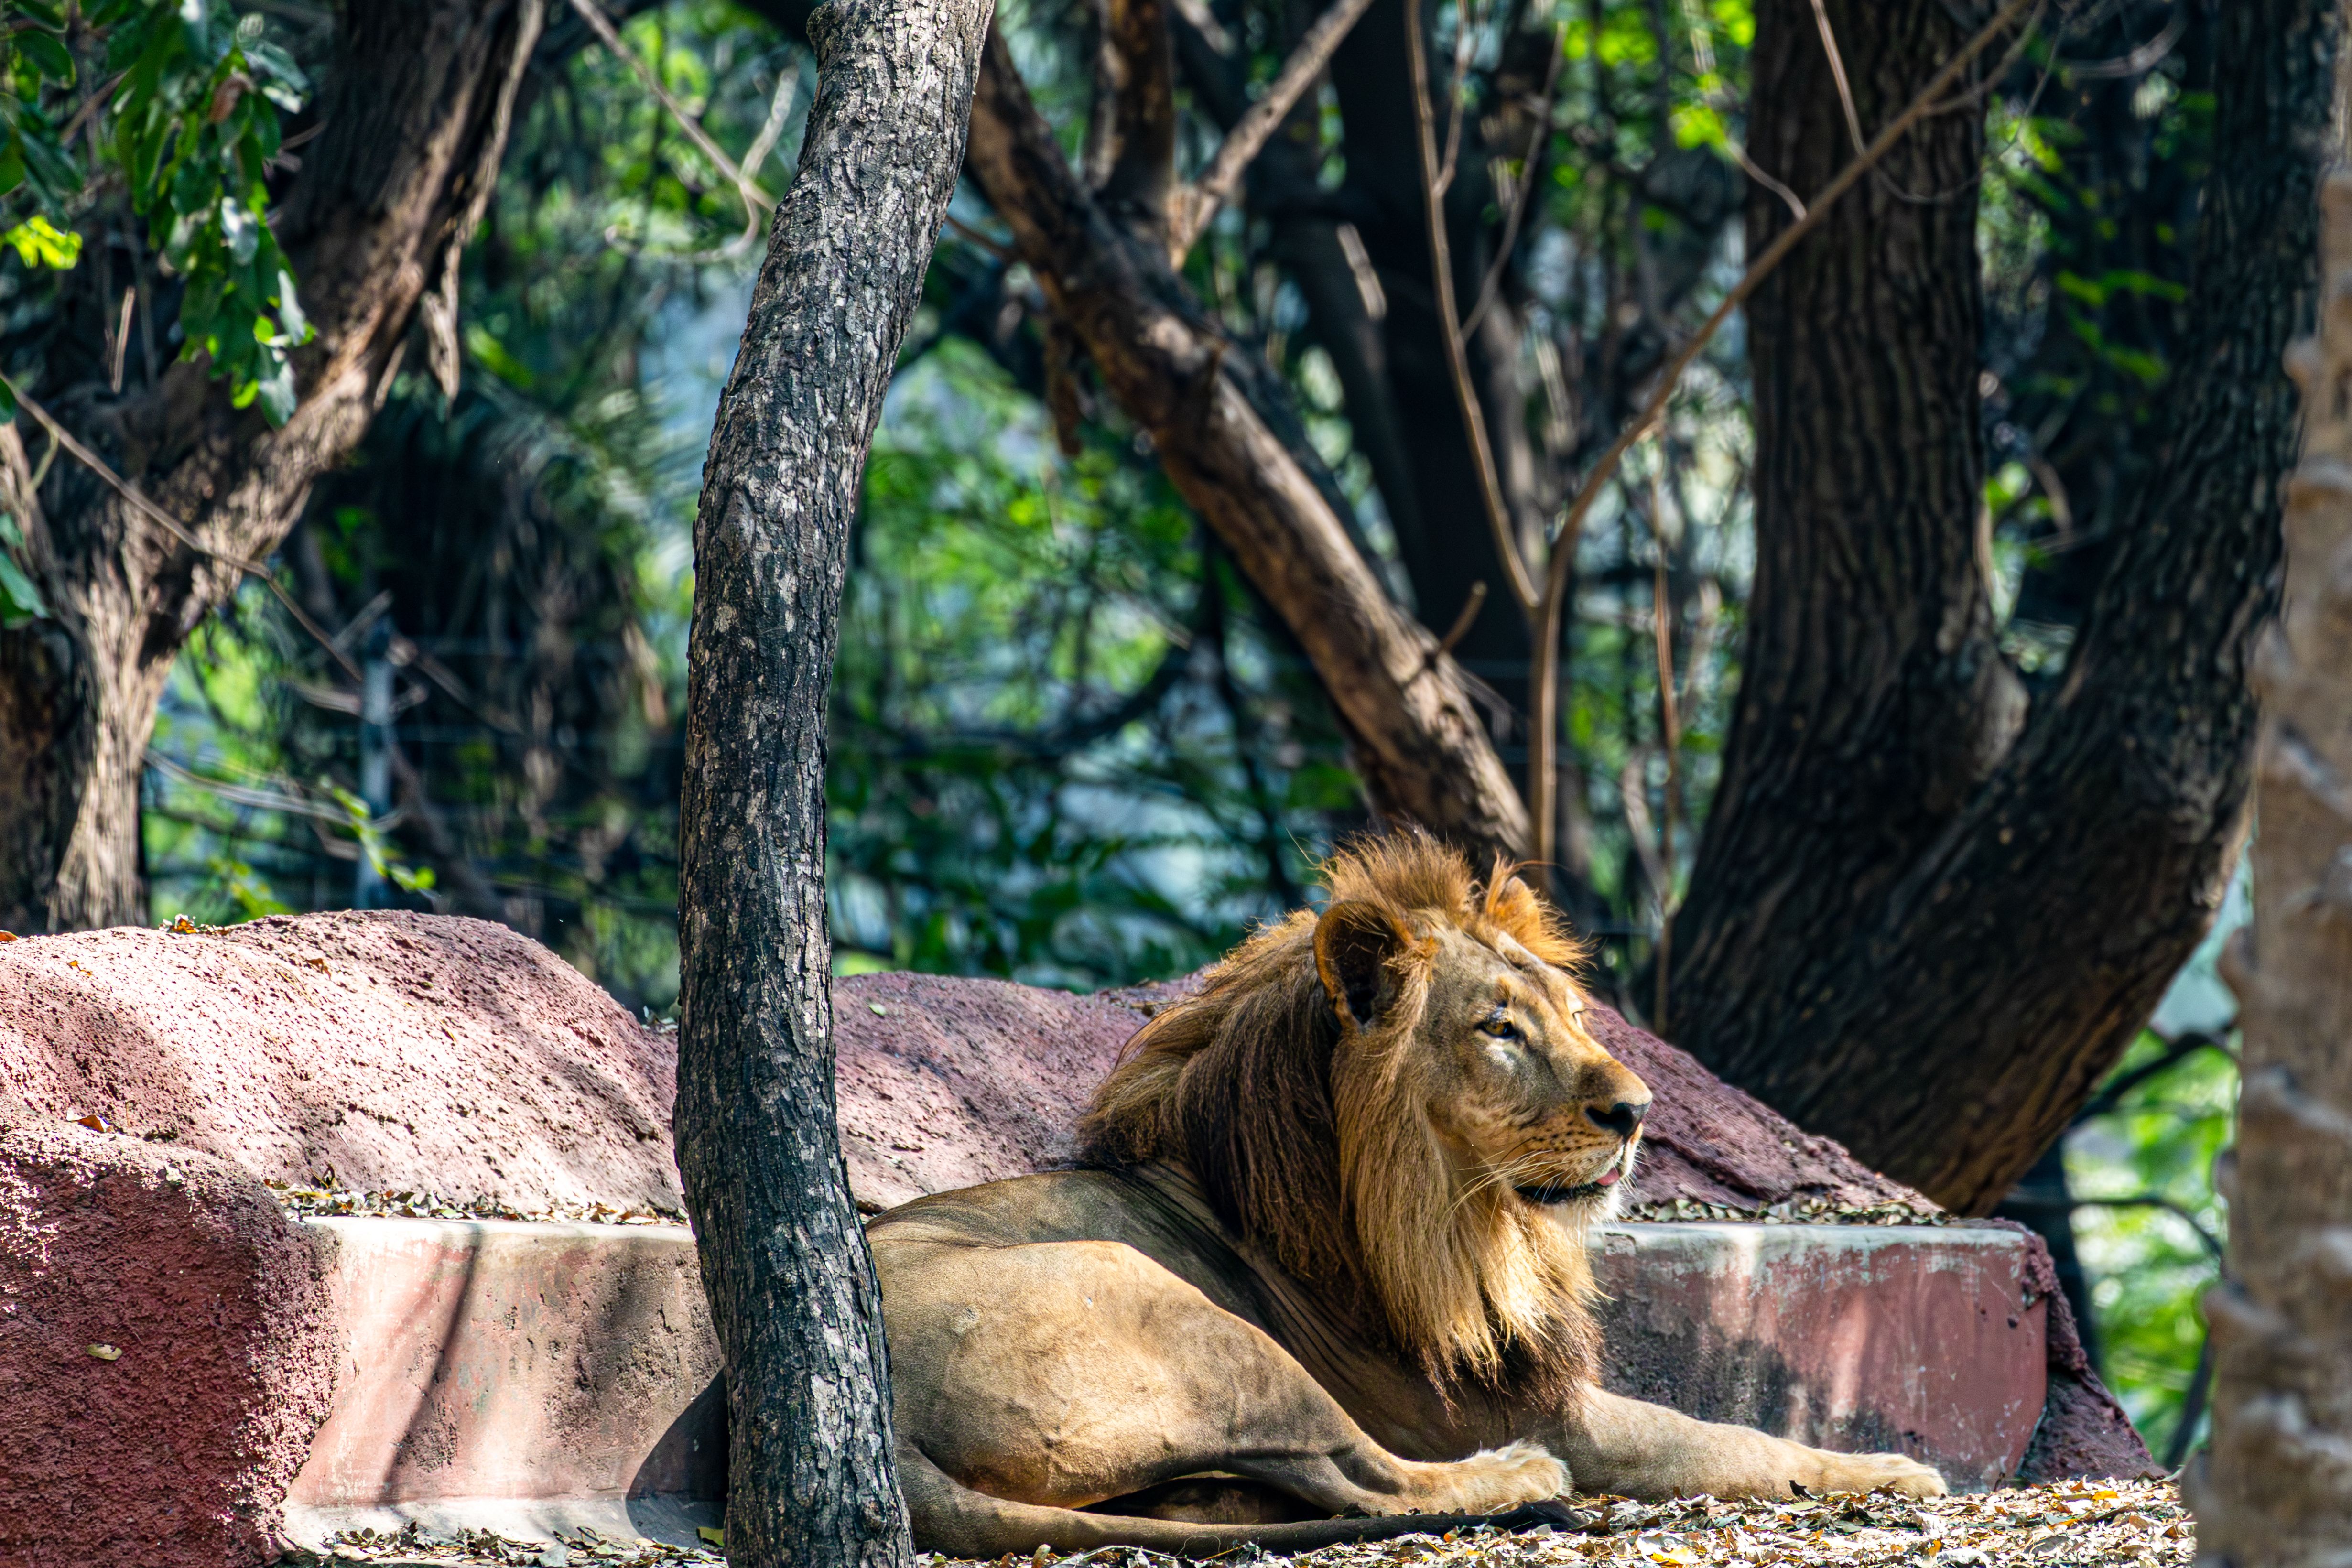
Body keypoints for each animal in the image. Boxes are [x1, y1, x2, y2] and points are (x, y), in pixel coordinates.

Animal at [870, 832, 1946, 1557]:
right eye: (1499, 1027)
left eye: (1572, 1014)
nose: (1638, 1112)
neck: (1457, 1218)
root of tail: (888, 1424)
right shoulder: (1510, 1406)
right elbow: (1726, 1436)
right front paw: (1891, 1468)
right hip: (1189, 1319)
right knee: (1368, 1478)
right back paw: (1517, 1475)